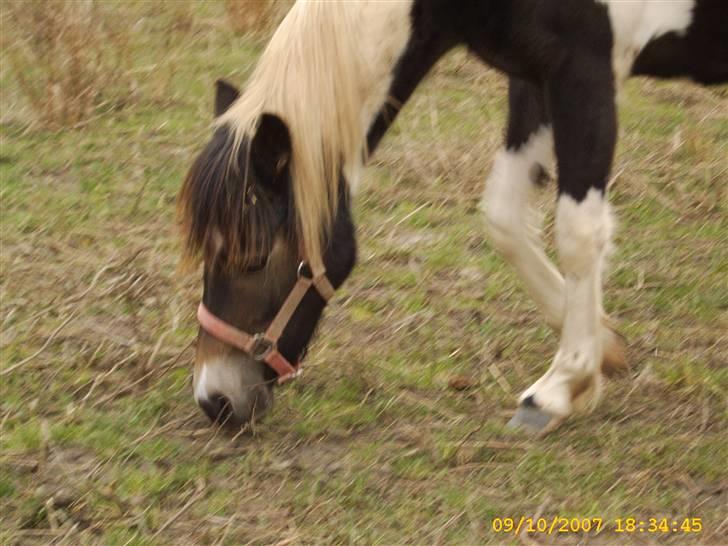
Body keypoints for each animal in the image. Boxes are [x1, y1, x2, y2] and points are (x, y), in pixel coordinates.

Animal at [178, 0, 728, 430]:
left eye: (253, 257)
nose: (215, 400)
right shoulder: (535, 73)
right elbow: (503, 217)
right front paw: (604, 350)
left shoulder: (585, 73)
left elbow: (578, 233)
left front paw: (560, 386)